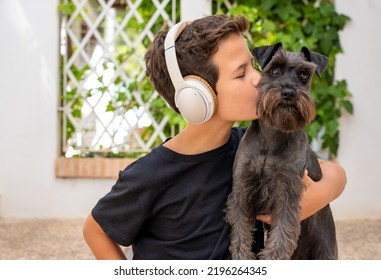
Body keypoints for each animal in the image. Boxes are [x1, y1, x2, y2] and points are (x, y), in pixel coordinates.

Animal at [224, 42, 336, 260]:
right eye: (274, 70)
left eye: (304, 75)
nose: (289, 93)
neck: (273, 137)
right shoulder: (243, 187)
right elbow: (241, 233)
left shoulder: (287, 192)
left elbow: (281, 237)